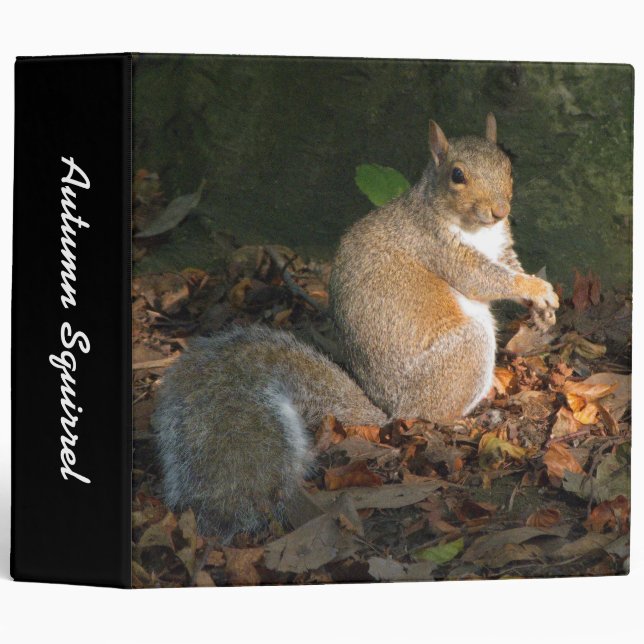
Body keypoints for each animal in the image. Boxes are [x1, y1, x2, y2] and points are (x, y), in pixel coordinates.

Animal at [152, 114, 558, 539]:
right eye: (457, 175)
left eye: (508, 164)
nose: (500, 210)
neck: (476, 229)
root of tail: (391, 412)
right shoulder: (439, 248)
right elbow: (484, 279)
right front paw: (534, 288)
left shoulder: (501, 246)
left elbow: (508, 266)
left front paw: (543, 306)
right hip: (463, 354)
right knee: (435, 414)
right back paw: (470, 416)